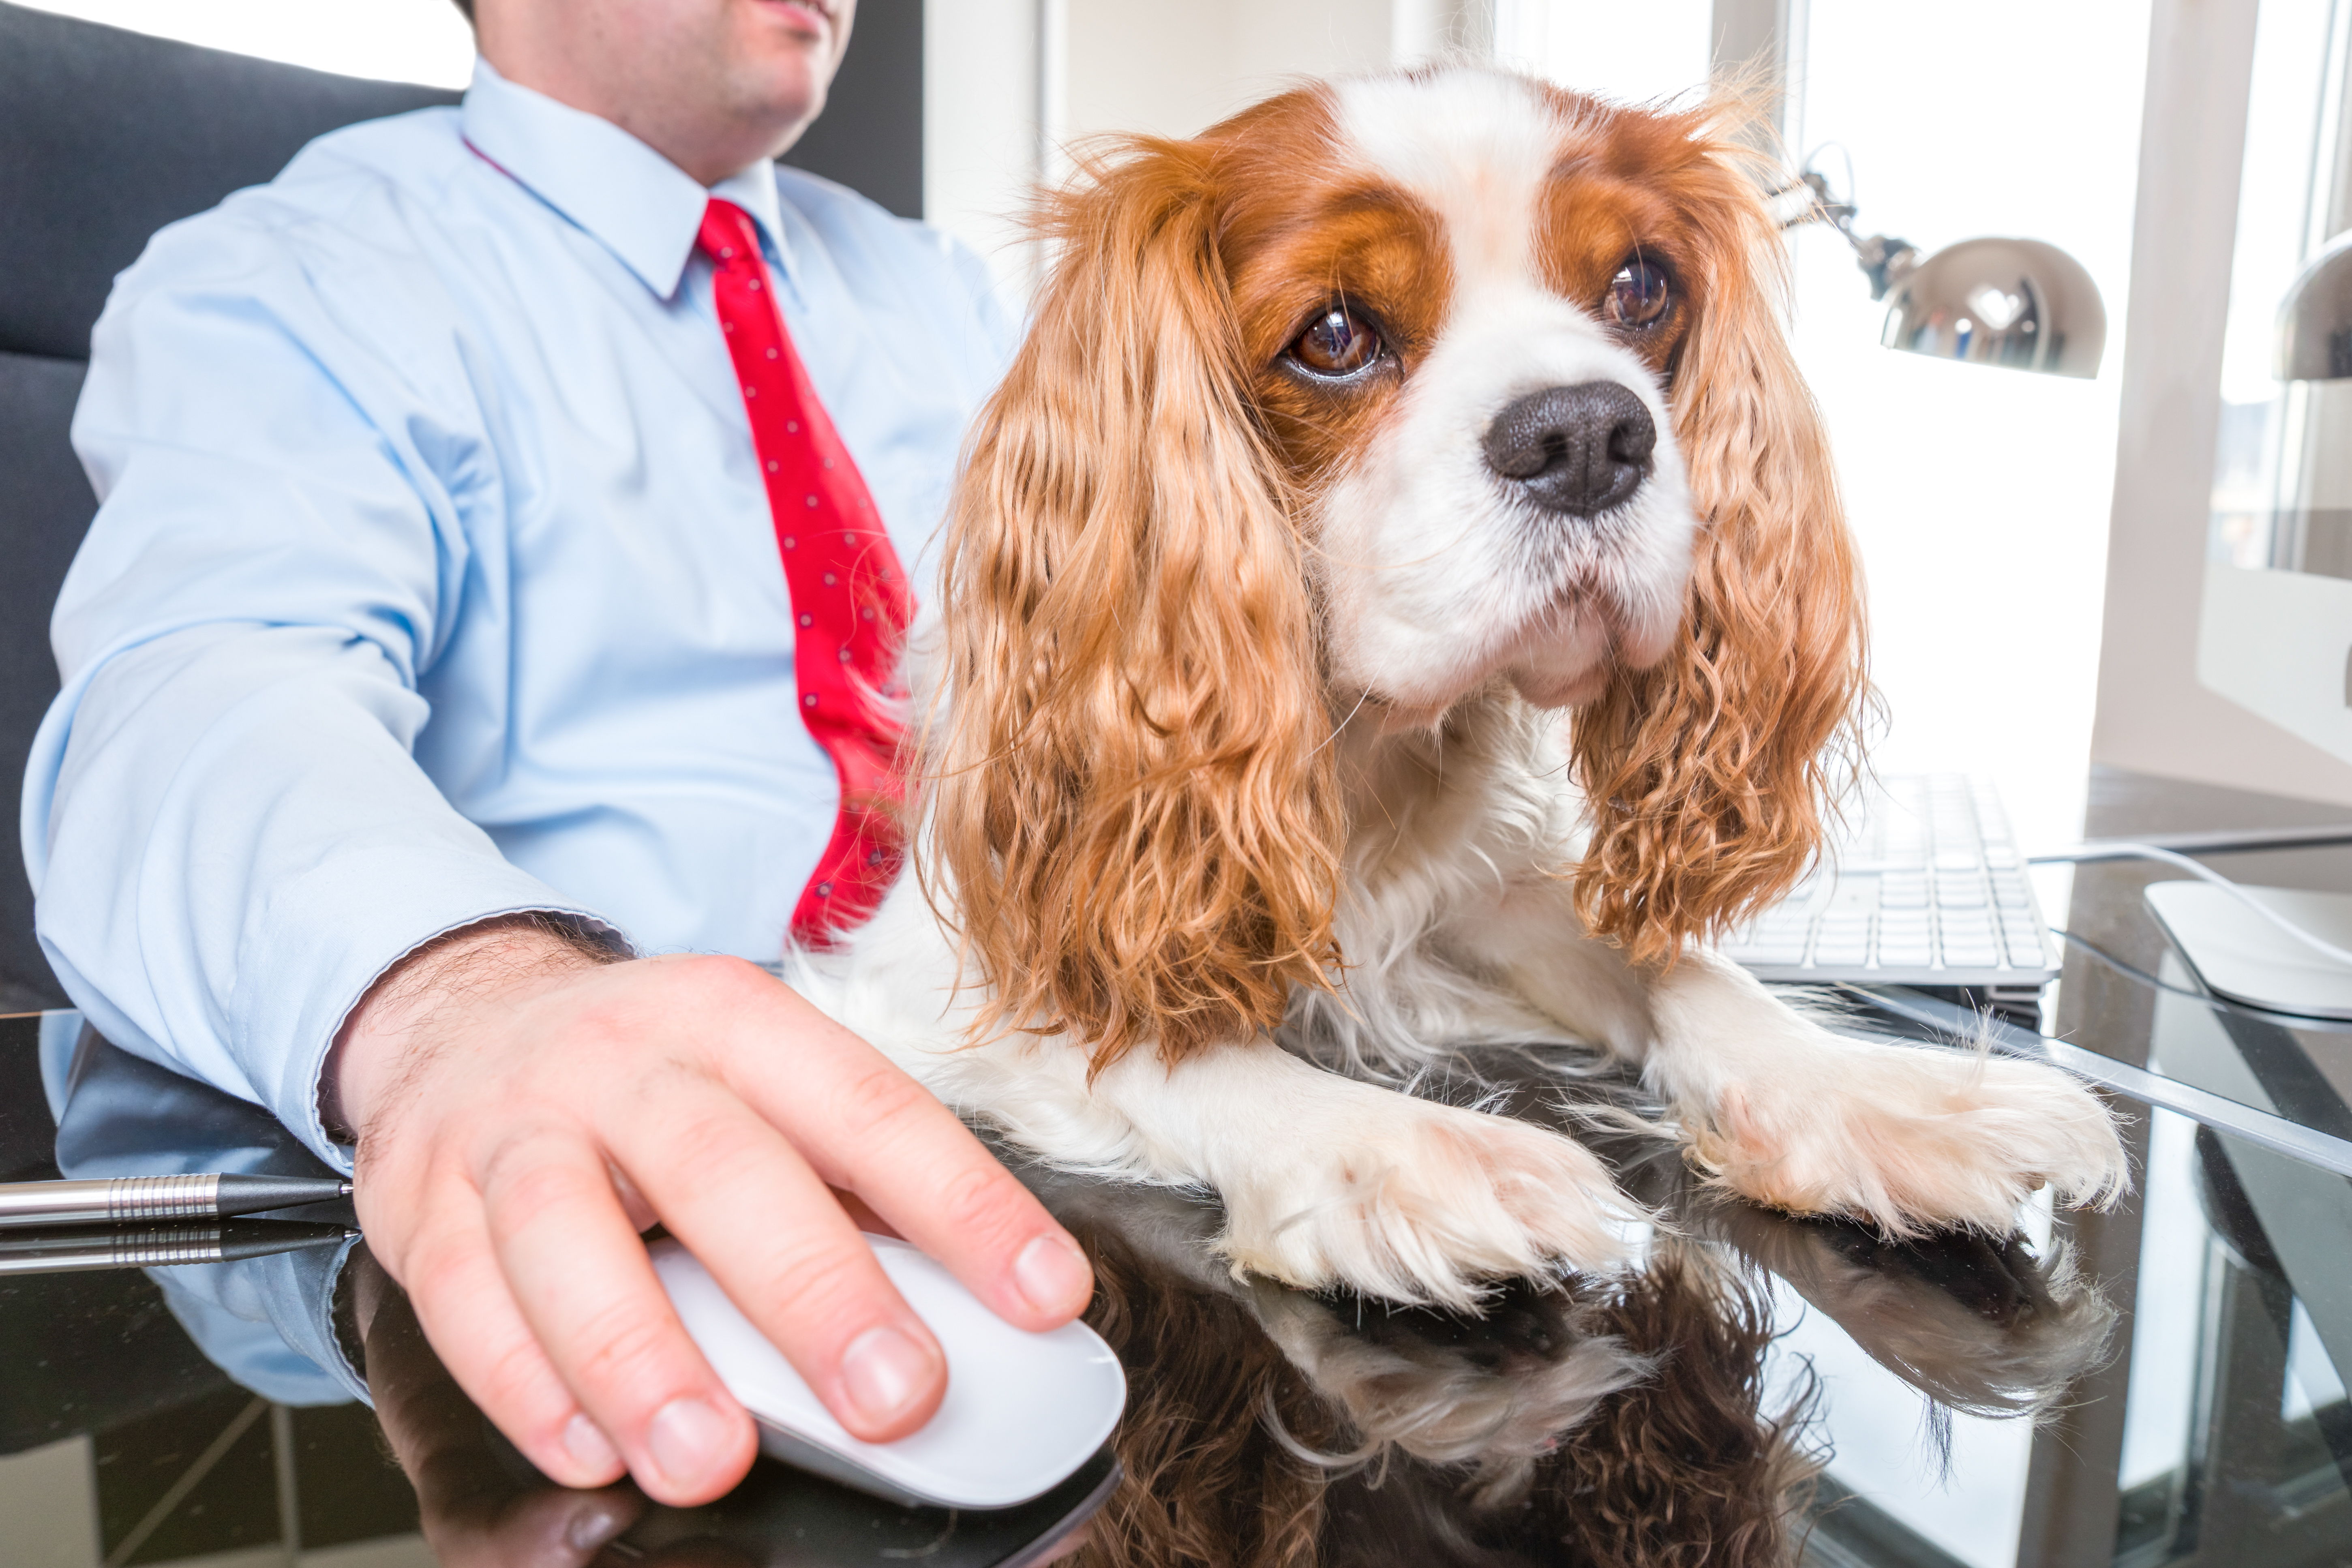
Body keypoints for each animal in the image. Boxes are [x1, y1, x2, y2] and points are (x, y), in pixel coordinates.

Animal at [790, 64, 2136, 1316]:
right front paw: (1399, 1148)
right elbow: (1148, 1031)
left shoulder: (1473, 906)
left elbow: (1681, 969)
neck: (1356, 750)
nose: (1586, 433)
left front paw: (1875, 1093)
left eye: (1640, 287)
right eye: (1333, 334)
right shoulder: (936, 969)